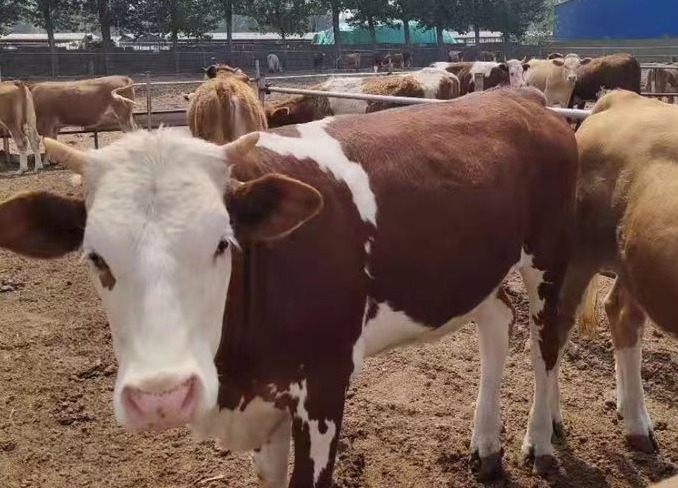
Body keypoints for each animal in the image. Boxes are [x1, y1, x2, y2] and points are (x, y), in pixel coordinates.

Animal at [0, 87, 580, 484]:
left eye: (222, 243)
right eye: (95, 257)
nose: (161, 396)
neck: (235, 374)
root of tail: (520, 96)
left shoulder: (323, 385)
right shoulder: (266, 404)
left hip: (548, 258)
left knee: (546, 343)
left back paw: (540, 438)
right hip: (476, 270)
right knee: (498, 322)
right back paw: (487, 444)